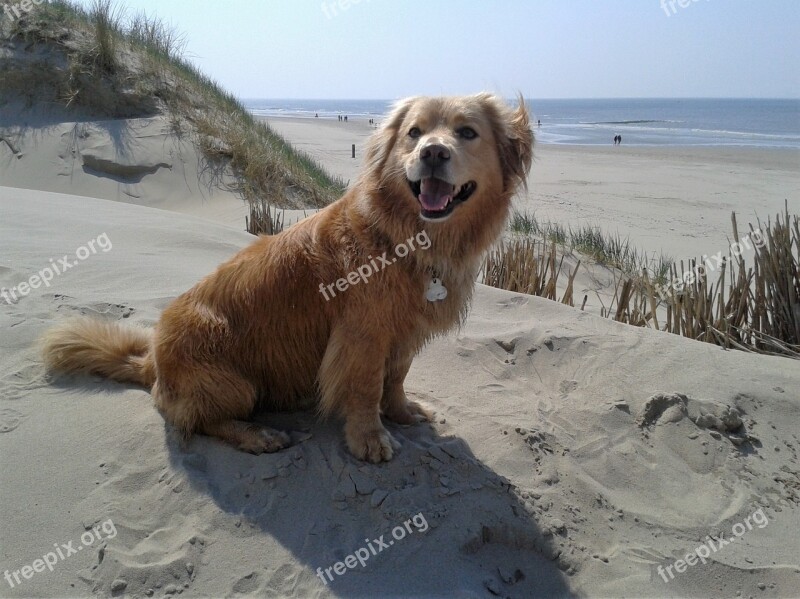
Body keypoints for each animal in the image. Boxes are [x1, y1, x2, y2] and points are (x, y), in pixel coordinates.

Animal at [40, 94, 536, 462]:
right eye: (414, 133)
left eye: (467, 132)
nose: (432, 153)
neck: (403, 238)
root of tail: (152, 363)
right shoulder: (361, 335)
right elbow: (365, 387)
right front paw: (369, 438)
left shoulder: (404, 333)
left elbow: (395, 378)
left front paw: (402, 411)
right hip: (233, 382)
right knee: (199, 420)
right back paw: (258, 435)